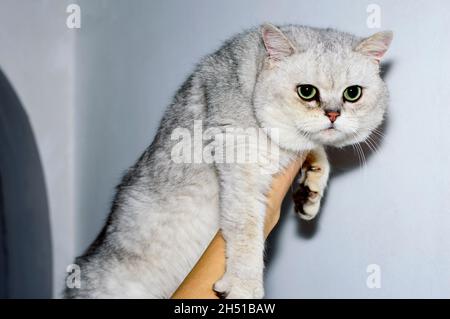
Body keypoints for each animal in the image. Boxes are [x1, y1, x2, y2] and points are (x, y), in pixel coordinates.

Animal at [65, 23, 392, 298]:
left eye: (353, 93)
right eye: (307, 91)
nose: (333, 114)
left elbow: (317, 152)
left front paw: (311, 187)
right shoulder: (239, 165)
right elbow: (244, 227)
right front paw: (244, 284)